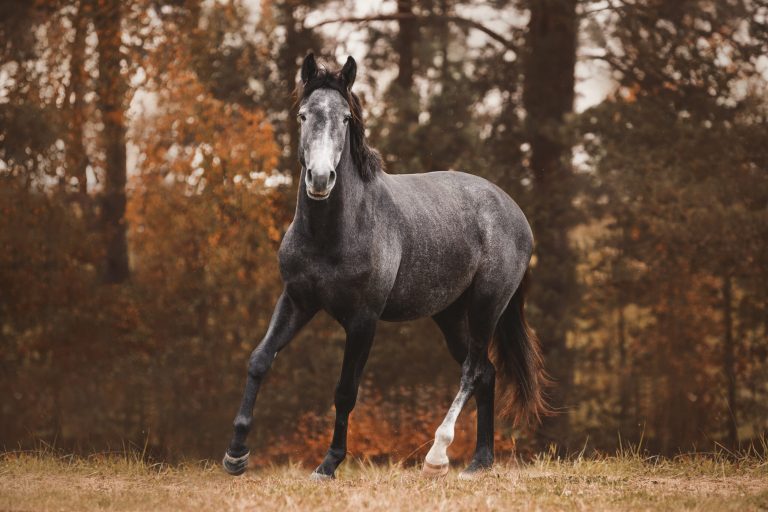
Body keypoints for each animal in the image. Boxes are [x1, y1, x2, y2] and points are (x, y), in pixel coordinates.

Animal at [222, 54, 544, 478]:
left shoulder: (363, 320)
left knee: (473, 371)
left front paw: (329, 463)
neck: (334, 233)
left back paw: (437, 457)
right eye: (304, 115)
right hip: (450, 315)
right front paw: (236, 454)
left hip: (485, 307)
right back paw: (479, 462)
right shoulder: (296, 301)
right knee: (486, 373)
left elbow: (345, 391)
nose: (320, 178)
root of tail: (514, 211)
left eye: (345, 118)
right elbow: (260, 360)